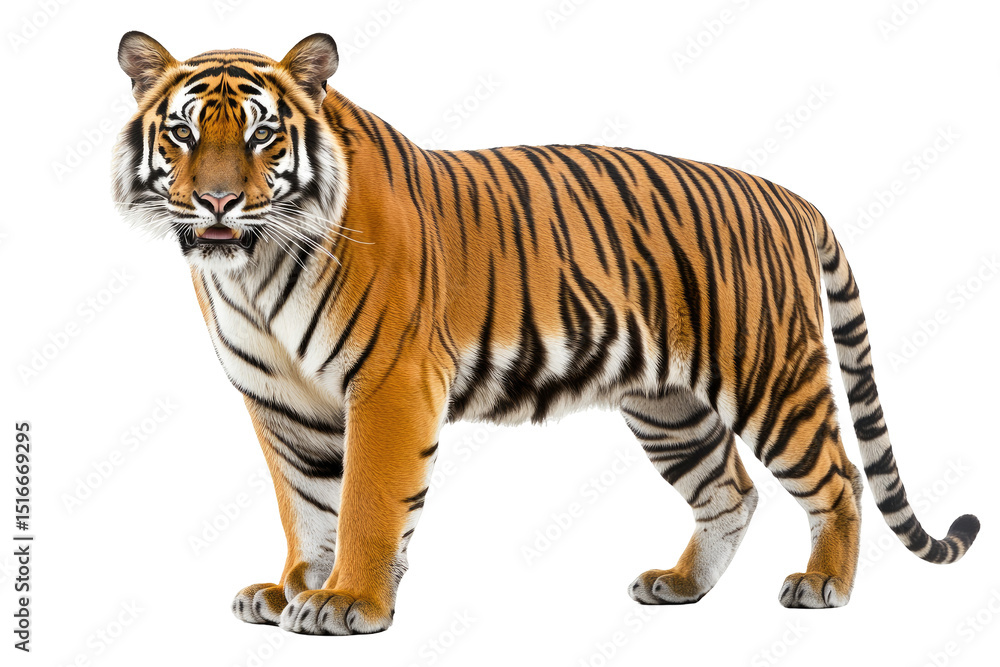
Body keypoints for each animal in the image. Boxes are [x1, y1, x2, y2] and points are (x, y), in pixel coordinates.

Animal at [111, 31, 980, 635]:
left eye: (262, 135)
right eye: (184, 133)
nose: (218, 202)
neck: (252, 269)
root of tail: (790, 196)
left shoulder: (389, 382)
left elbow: (365, 501)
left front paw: (347, 600)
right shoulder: (282, 403)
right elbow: (306, 503)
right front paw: (293, 585)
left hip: (771, 374)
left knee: (839, 477)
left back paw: (824, 585)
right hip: (669, 406)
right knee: (730, 489)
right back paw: (681, 585)